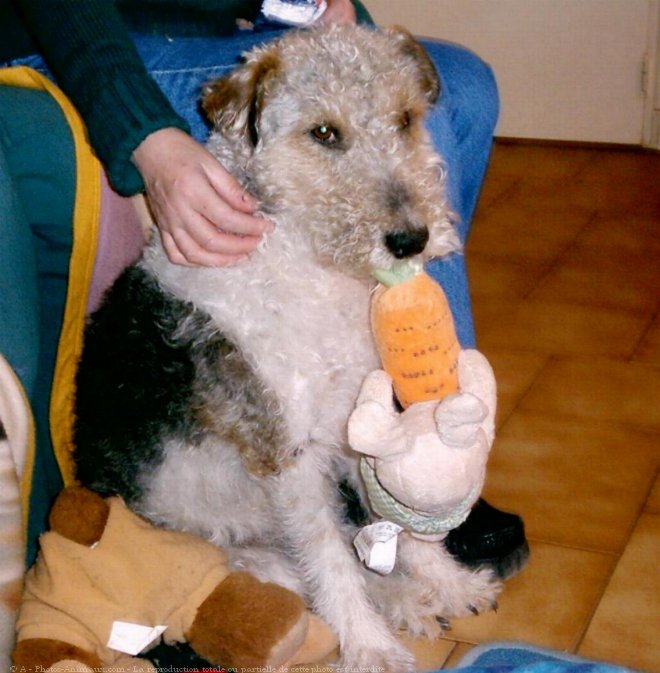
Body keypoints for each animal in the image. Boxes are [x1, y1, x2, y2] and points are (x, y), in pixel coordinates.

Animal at [75, 23, 500, 668]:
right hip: (240, 550)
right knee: (319, 570)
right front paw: (371, 647)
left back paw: (420, 600)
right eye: (323, 132)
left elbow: (394, 523)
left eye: (405, 118)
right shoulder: (289, 452)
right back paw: (401, 607)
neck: (305, 262)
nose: (412, 240)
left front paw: (450, 582)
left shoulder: (354, 420)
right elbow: (331, 561)